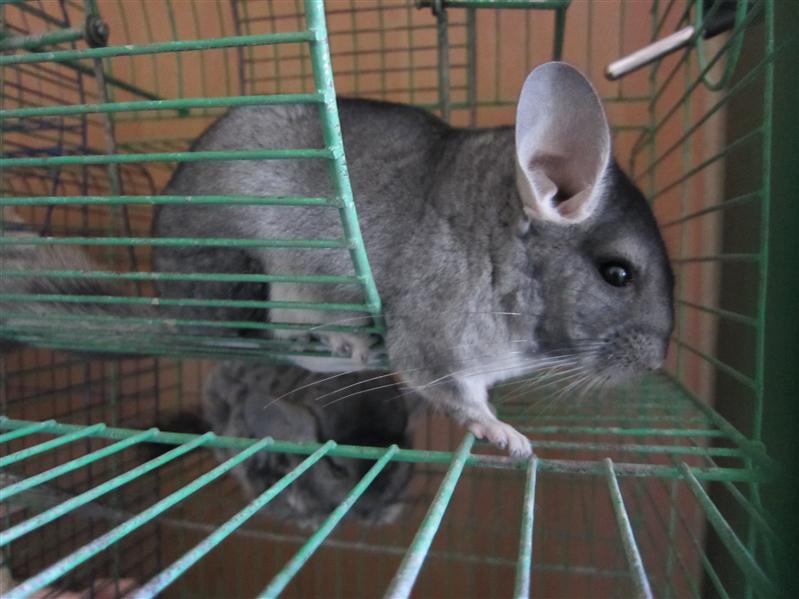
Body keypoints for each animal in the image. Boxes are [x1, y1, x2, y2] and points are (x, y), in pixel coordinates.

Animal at [1, 62, 674, 456]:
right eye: (618, 273)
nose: (659, 359)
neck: (494, 246)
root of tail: (172, 306)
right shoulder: (434, 330)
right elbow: (452, 391)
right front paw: (510, 437)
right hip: (256, 267)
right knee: (274, 334)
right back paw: (343, 340)